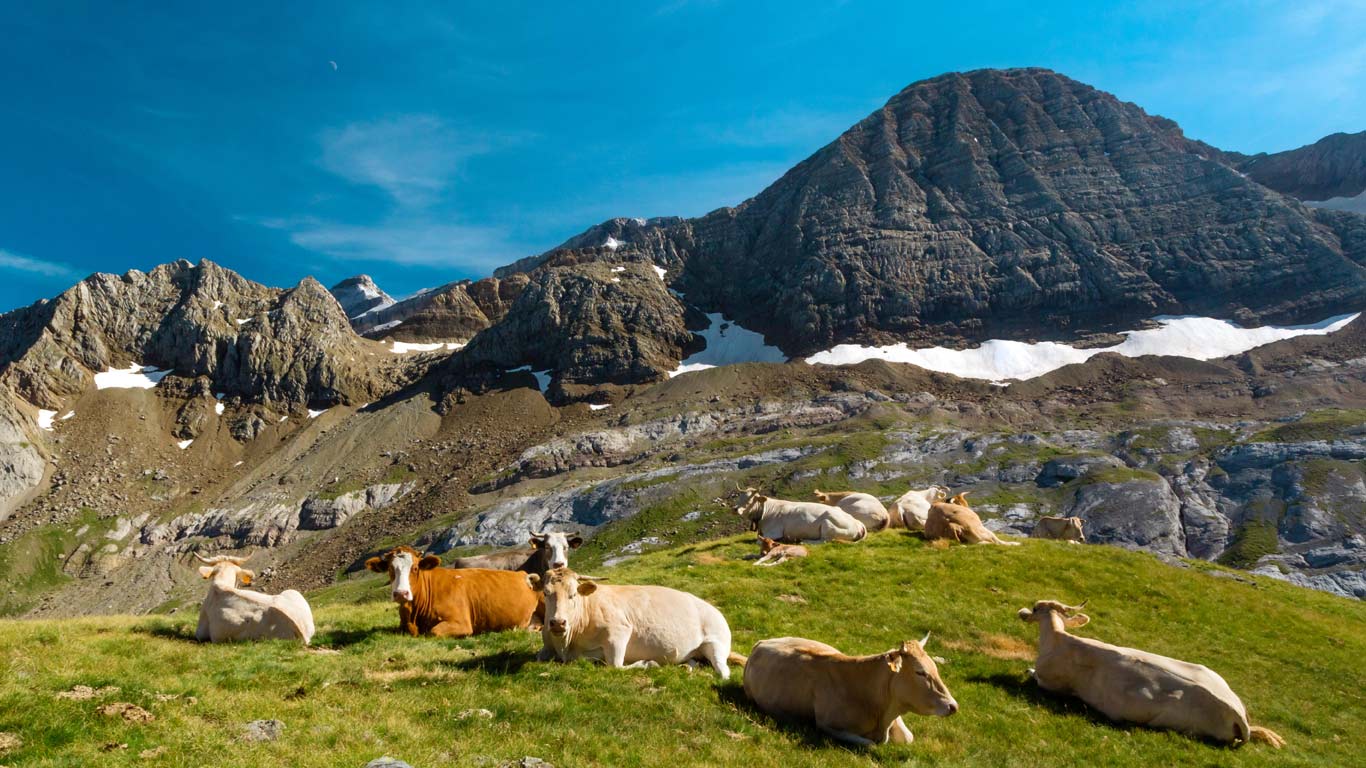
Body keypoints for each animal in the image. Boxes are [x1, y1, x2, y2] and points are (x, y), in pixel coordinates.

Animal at [365, 545, 539, 637]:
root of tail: (523, 574)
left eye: (415, 568)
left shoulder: (461, 622)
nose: (401, 593)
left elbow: (434, 631)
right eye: (390, 569)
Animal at [526, 567, 734, 678]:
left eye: (573, 594)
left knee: (723, 672)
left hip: (716, 642)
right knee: (693, 660)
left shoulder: (619, 631)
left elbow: (615, 665)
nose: (558, 623)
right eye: (546, 593)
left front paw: (648, 663)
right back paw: (686, 667)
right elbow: (539, 656)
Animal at [735, 488, 866, 543]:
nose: (735, 509)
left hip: (828, 526)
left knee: (824, 540)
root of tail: (858, 523)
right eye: (739, 497)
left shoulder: (773, 532)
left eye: (750, 500)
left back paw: (804, 541)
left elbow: (758, 540)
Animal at [739, 633, 958, 746]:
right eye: (920, 672)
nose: (953, 706)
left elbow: (908, 738)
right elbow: (870, 743)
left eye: (935, 667)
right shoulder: (827, 725)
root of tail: (762, 642)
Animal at [1018, 600, 1284, 747]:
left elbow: (1033, 673)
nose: (1022, 612)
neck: (1057, 640)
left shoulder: (1049, 683)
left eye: (1035, 607)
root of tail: (1238, 714)